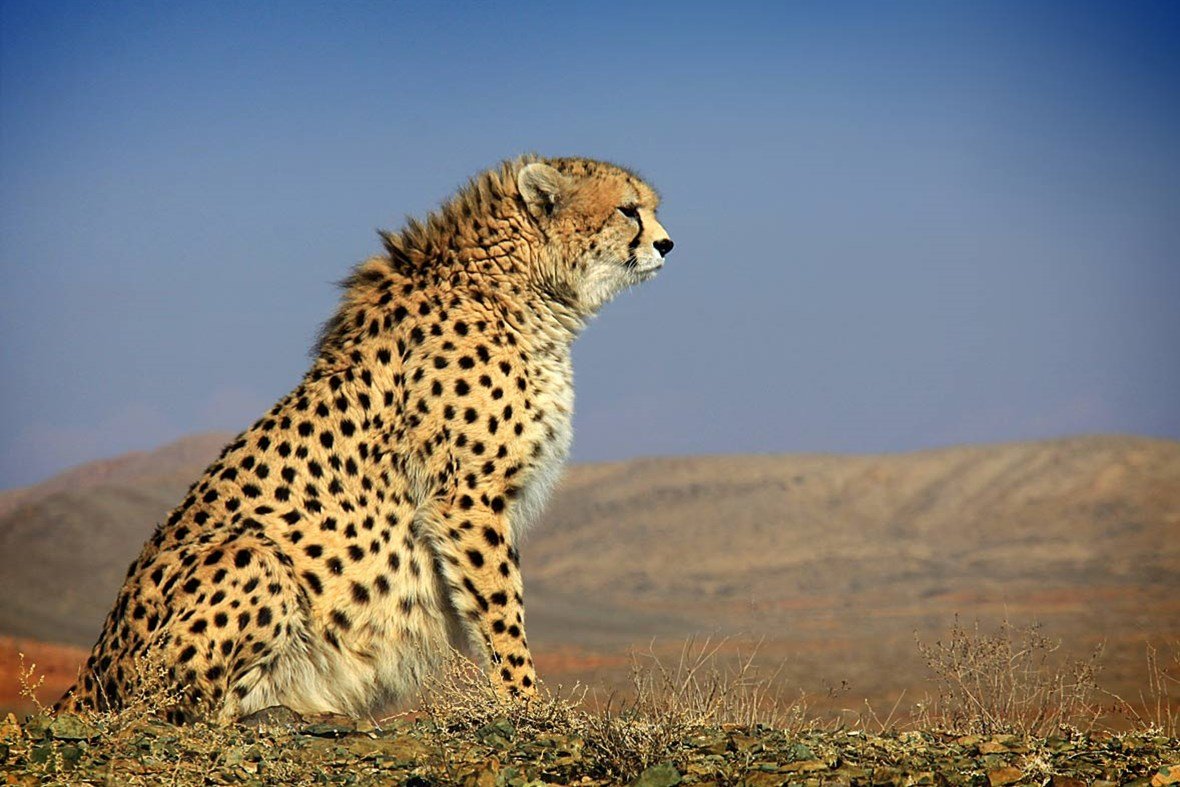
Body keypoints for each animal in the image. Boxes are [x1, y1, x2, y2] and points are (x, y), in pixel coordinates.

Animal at [55, 155, 673, 723]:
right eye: (628, 210)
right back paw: (285, 712)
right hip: (253, 559)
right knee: (182, 710)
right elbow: (501, 609)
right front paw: (528, 704)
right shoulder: (466, 499)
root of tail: (90, 674)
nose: (667, 244)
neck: (520, 285)